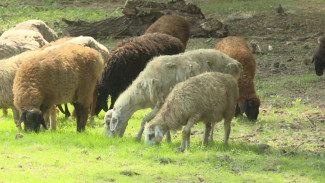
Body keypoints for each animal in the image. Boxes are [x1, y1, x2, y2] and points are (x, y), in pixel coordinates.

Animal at [102, 48, 242, 141]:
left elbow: (144, 120)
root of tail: (235, 62)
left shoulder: (160, 102)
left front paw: (137, 138)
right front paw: (167, 140)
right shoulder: (159, 104)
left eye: (109, 123)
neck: (142, 92)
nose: (109, 139)